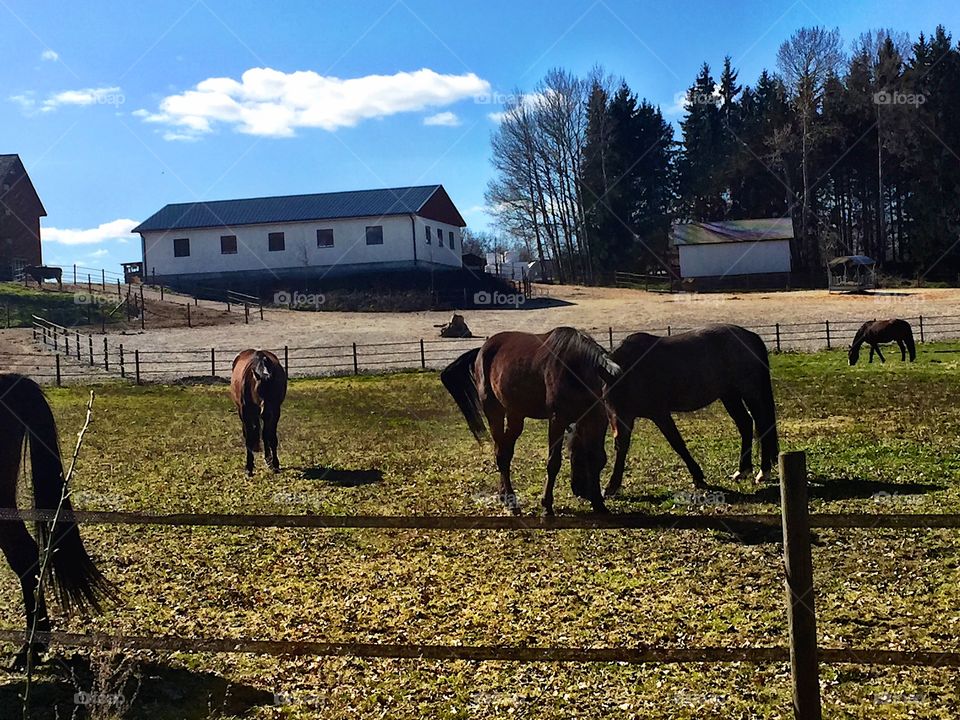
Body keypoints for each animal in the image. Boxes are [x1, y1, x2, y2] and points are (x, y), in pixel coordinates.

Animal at [441, 327, 621, 516]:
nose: (581, 491)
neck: (575, 369)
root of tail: (481, 350)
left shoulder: (594, 420)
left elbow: (597, 458)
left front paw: (599, 504)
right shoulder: (557, 420)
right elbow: (553, 463)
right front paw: (547, 506)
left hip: (515, 415)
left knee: (505, 451)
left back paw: (505, 496)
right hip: (494, 411)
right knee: (500, 452)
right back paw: (511, 501)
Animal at [602, 324, 778, 497]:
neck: (622, 371)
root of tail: (748, 335)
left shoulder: (659, 414)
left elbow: (677, 443)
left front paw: (698, 477)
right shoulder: (621, 417)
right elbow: (621, 446)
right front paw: (612, 486)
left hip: (750, 393)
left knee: (762, 425)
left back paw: (763, 472)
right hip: (730, 396)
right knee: (746, 424)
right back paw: (742, 471)